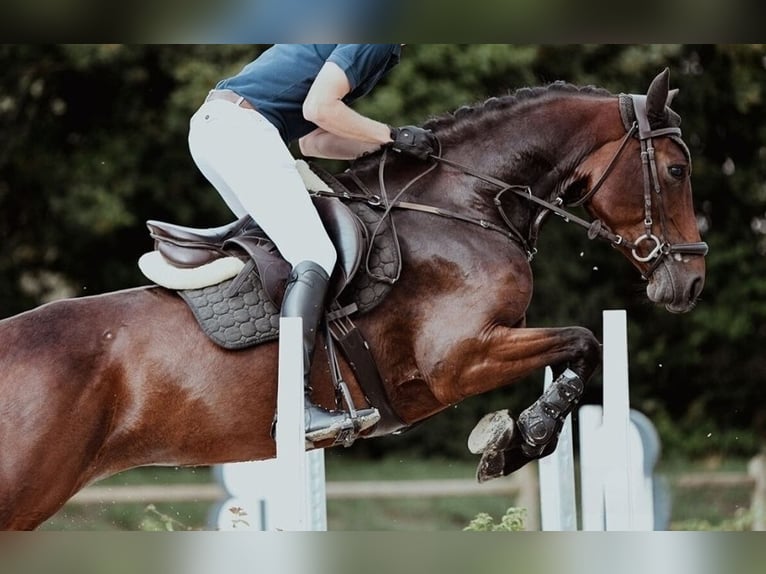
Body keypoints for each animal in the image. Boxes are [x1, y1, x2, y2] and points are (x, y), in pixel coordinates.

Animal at [0, 68, 707, 530]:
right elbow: (585, 343)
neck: (461, 206)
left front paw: (516, 436)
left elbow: (581, 350)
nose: (691, 283)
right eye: (676, 170)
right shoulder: (460, 360)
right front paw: (520, 438)